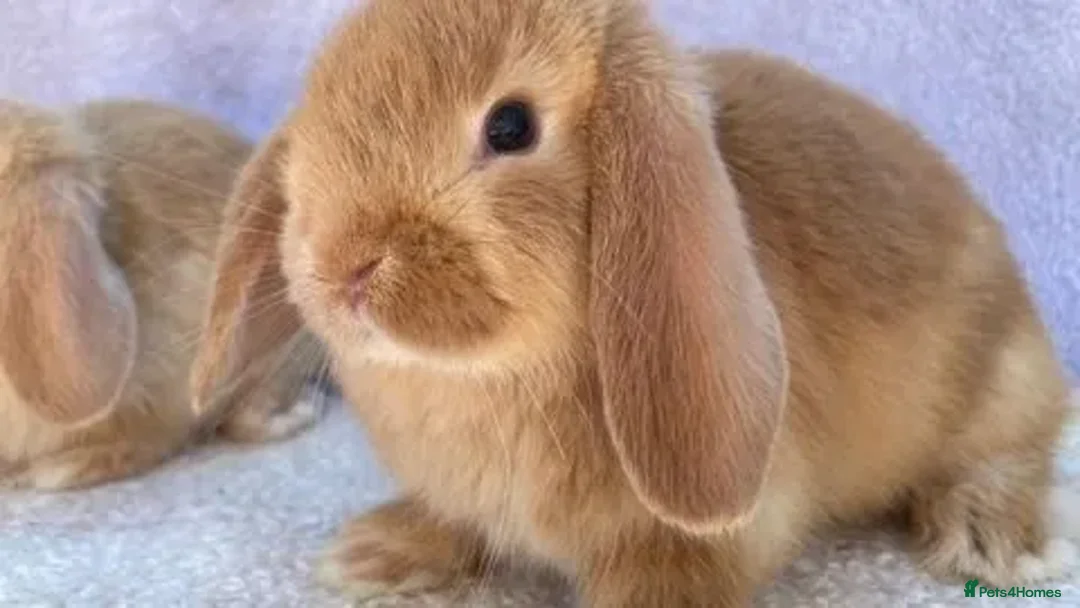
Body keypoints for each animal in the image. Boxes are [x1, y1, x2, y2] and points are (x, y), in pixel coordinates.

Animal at [189, 0, 1076, 605]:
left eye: (510, 127)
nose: (342, 266)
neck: (487, 377)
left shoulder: (697, 538)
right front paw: (377, 556)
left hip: (1002, 381)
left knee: (1009, 453)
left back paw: (994, 542)